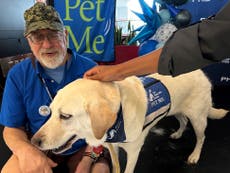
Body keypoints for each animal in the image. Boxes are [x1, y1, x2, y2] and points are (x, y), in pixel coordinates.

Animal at [31, 69, 227, 173]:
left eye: (65, 116)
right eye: (50, 111)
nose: (34, 142)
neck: (119, 115)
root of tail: (200, 71)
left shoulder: (133, 152)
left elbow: (128, 169)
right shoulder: (113, 147)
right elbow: (116, 166)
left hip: (198, 118)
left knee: (201, 137)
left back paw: (194, 155)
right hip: (176, 108)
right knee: (183, 120)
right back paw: (178, 133)